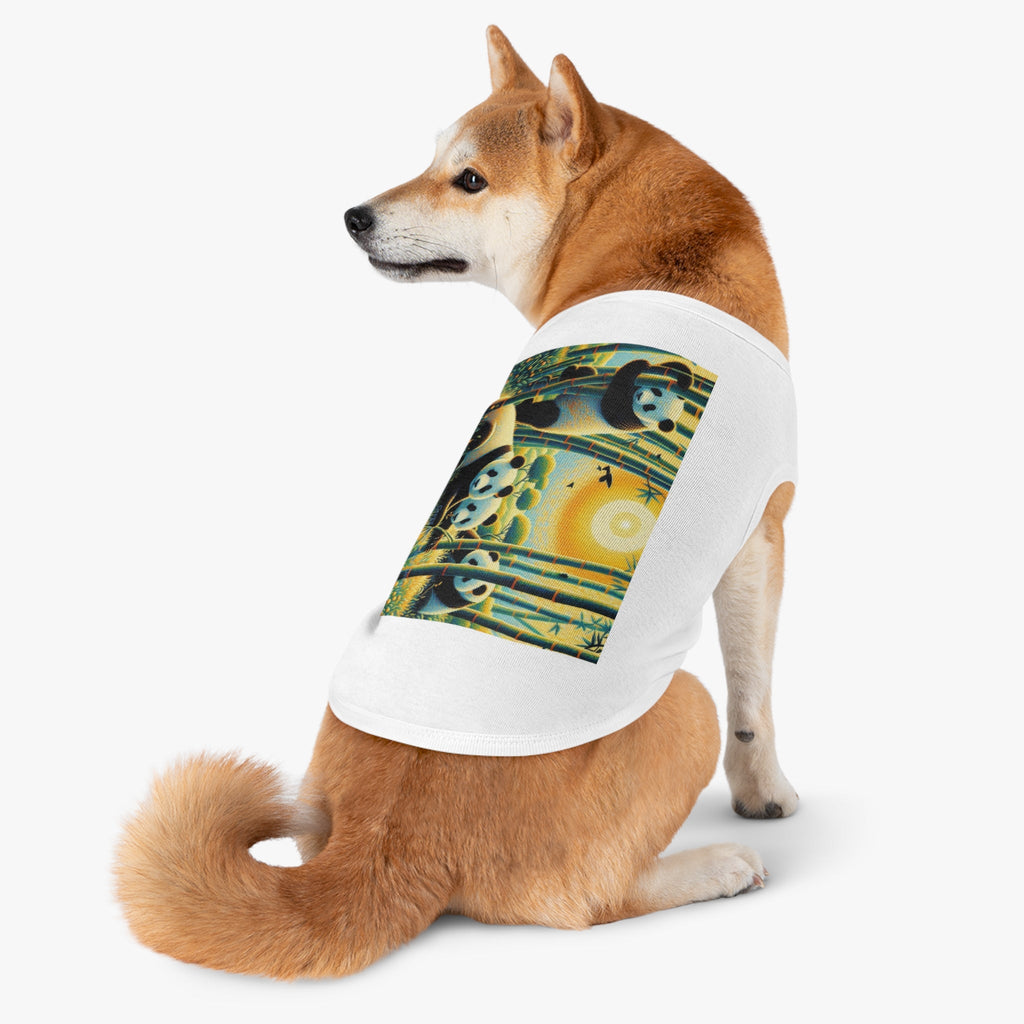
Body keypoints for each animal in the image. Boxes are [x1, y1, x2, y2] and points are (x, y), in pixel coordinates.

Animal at [514, 359, 694, 436]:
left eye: (649, 407)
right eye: (656, 391)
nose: (641, 396)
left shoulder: (634, 421)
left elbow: (611, 408)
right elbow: (668, 367)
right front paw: (684, 380)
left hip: (559, 417)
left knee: (543, 415)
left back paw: (524, 407)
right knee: (585, 373)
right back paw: (570, 372)